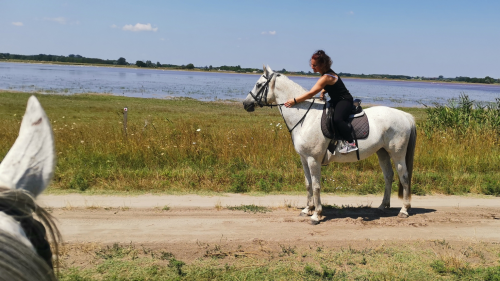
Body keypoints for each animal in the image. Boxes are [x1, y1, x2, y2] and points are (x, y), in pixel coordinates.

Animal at [244, 65, 416, 223]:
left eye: (259, 85)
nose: (246, 104)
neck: (305, 117)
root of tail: (405, 116)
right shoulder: (304, 159)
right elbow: (308, 184)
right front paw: (307, 209)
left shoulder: (313, 159)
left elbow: (316, 186)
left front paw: (316, 214)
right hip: (382, 152)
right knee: (388, 176)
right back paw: (382, 206)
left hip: (397, 154)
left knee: (404, 176)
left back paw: (404, 210)